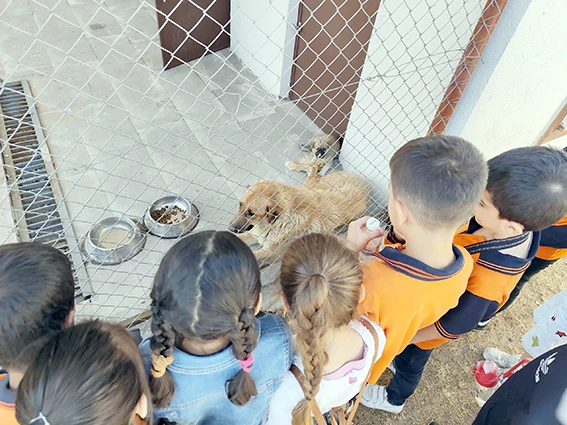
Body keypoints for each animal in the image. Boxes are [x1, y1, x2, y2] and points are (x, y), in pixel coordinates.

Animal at [230, 170, 368, 264]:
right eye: (240, 204)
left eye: (251, 213)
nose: (230, 228)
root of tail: (361, 180)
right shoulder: (255, 233)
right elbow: (241, 237)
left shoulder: (271, 253)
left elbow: (254, 254)